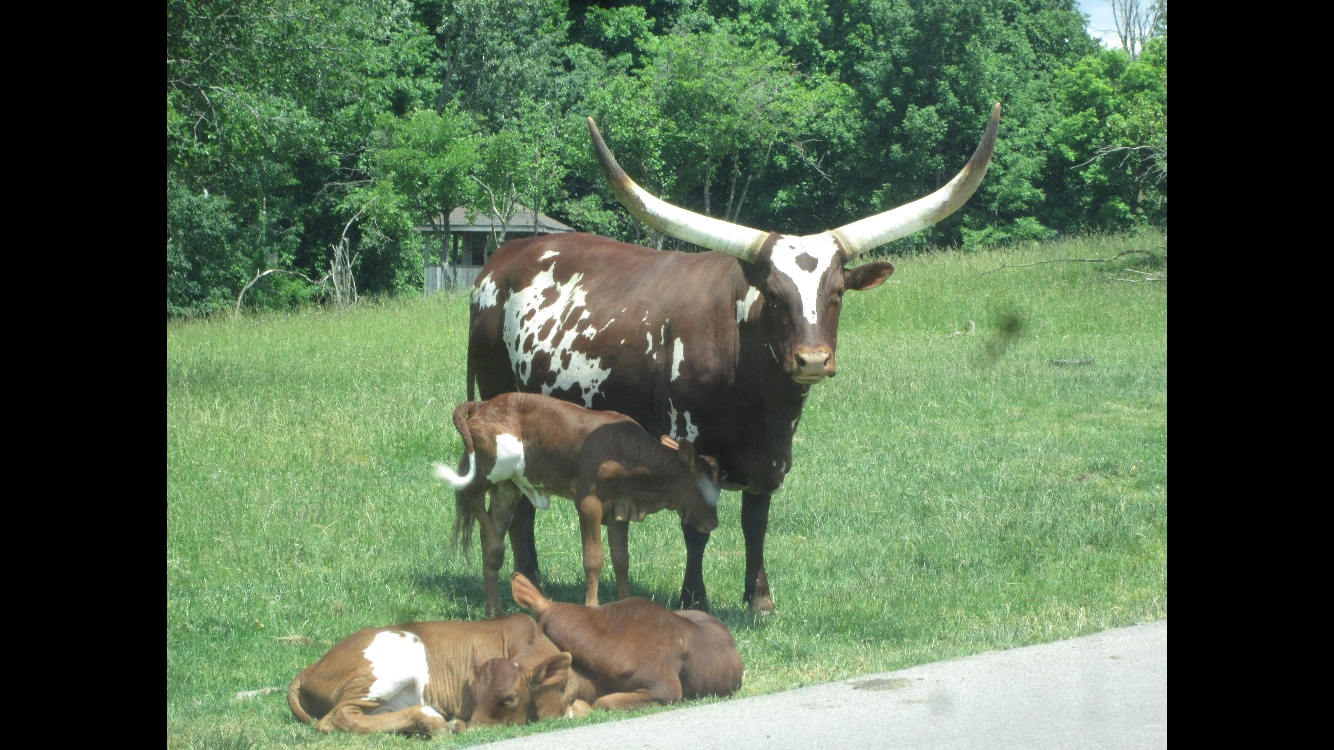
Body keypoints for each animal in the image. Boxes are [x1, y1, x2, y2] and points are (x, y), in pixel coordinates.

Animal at [286, 613, 587, 736]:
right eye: (472, 693)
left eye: (511, 697)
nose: (474, 728)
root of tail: (312, 666)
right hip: (394, 661)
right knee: (338, 717)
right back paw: (432, 721)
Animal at [434, 391, 722, 615]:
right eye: (709, 487)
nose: (714, 523)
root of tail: (484, 404)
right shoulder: (588, 503)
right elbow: (594, 559)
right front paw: (592, 606)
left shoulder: (620, 508)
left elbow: (621, 560)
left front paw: (627, 603)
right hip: (493, 466)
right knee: (470, 494)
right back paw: (493, 539)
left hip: (507, 487)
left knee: (490, 539)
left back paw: (494, 606)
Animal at [467, 104, 1001, 613]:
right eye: (776, 296)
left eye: (836, 294)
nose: (811, 360)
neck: (759, 396)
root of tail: (499, 263)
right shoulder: (689, 445)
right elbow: (697, 527)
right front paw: (694, 598)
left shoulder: (772, 455)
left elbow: (755, 522)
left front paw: (759, 597)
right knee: (516, 503)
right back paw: (530, 577)